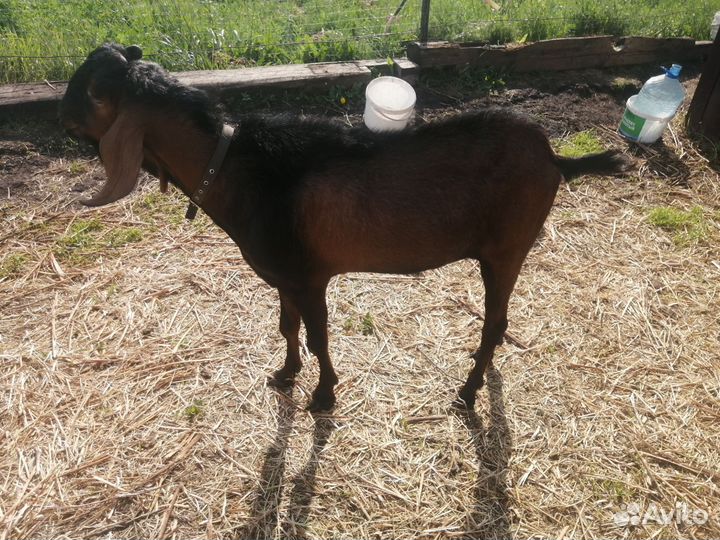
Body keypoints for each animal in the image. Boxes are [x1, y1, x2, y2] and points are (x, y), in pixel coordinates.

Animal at [60, 44, 632, 412]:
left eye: (87, 94)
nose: (61, 122)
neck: (233, 166)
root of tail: (553, 157)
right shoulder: (285, 278)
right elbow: (287, 327)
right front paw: (285, 375)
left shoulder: (310, 277)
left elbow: (318, 337)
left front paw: (323, 396)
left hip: (506, 249)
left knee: (495, 322)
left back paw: (467, 393)